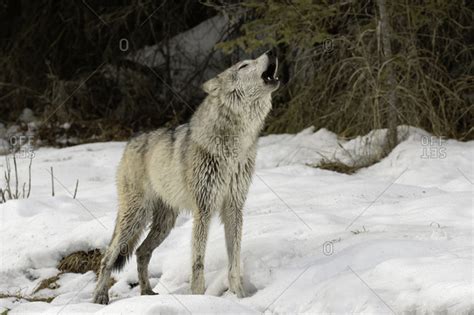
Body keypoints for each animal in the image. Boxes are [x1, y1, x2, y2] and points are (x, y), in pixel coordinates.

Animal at [91, 49, 278, 304]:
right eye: (243, 66)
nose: (273, 51)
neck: (234, 147)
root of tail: (130, 143)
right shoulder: (203, 210)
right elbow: (198, 263)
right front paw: (199, 299)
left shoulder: (234, 208)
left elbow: (235, 261)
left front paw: (240, 296)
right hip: (136, 218)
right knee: (108, 255)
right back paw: (100, 296)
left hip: (165, 223)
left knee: (141, 251)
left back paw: (146, 293)